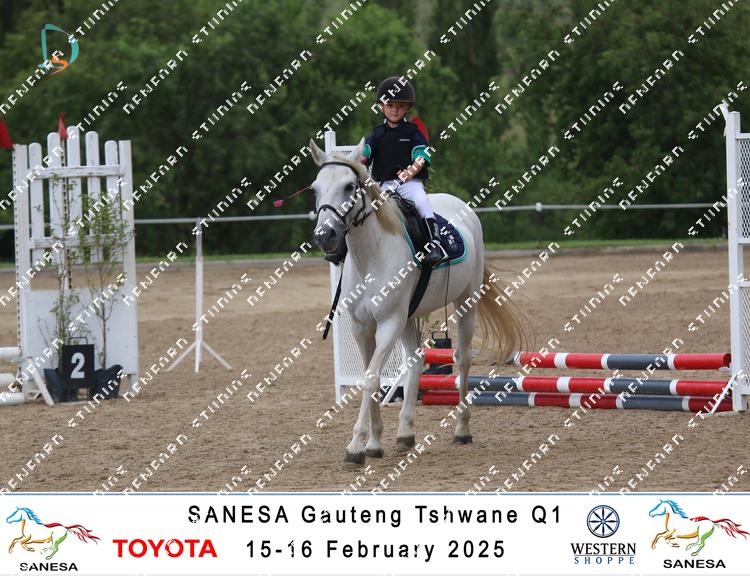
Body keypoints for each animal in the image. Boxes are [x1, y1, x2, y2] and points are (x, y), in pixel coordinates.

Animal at [308, 138, 528, 466]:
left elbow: (372, 379)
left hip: (465, 304)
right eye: (315, 189)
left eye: (349, 186)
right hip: (410, 317)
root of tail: (461, 206)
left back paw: (462, 430)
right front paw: (374, 442)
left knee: (462, 359)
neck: (371, 257)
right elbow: (370, 378)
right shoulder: (363, 327)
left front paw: (356, 446)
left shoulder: (388, 323)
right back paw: (405, 434)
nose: (325, 236)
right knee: (416, 360)